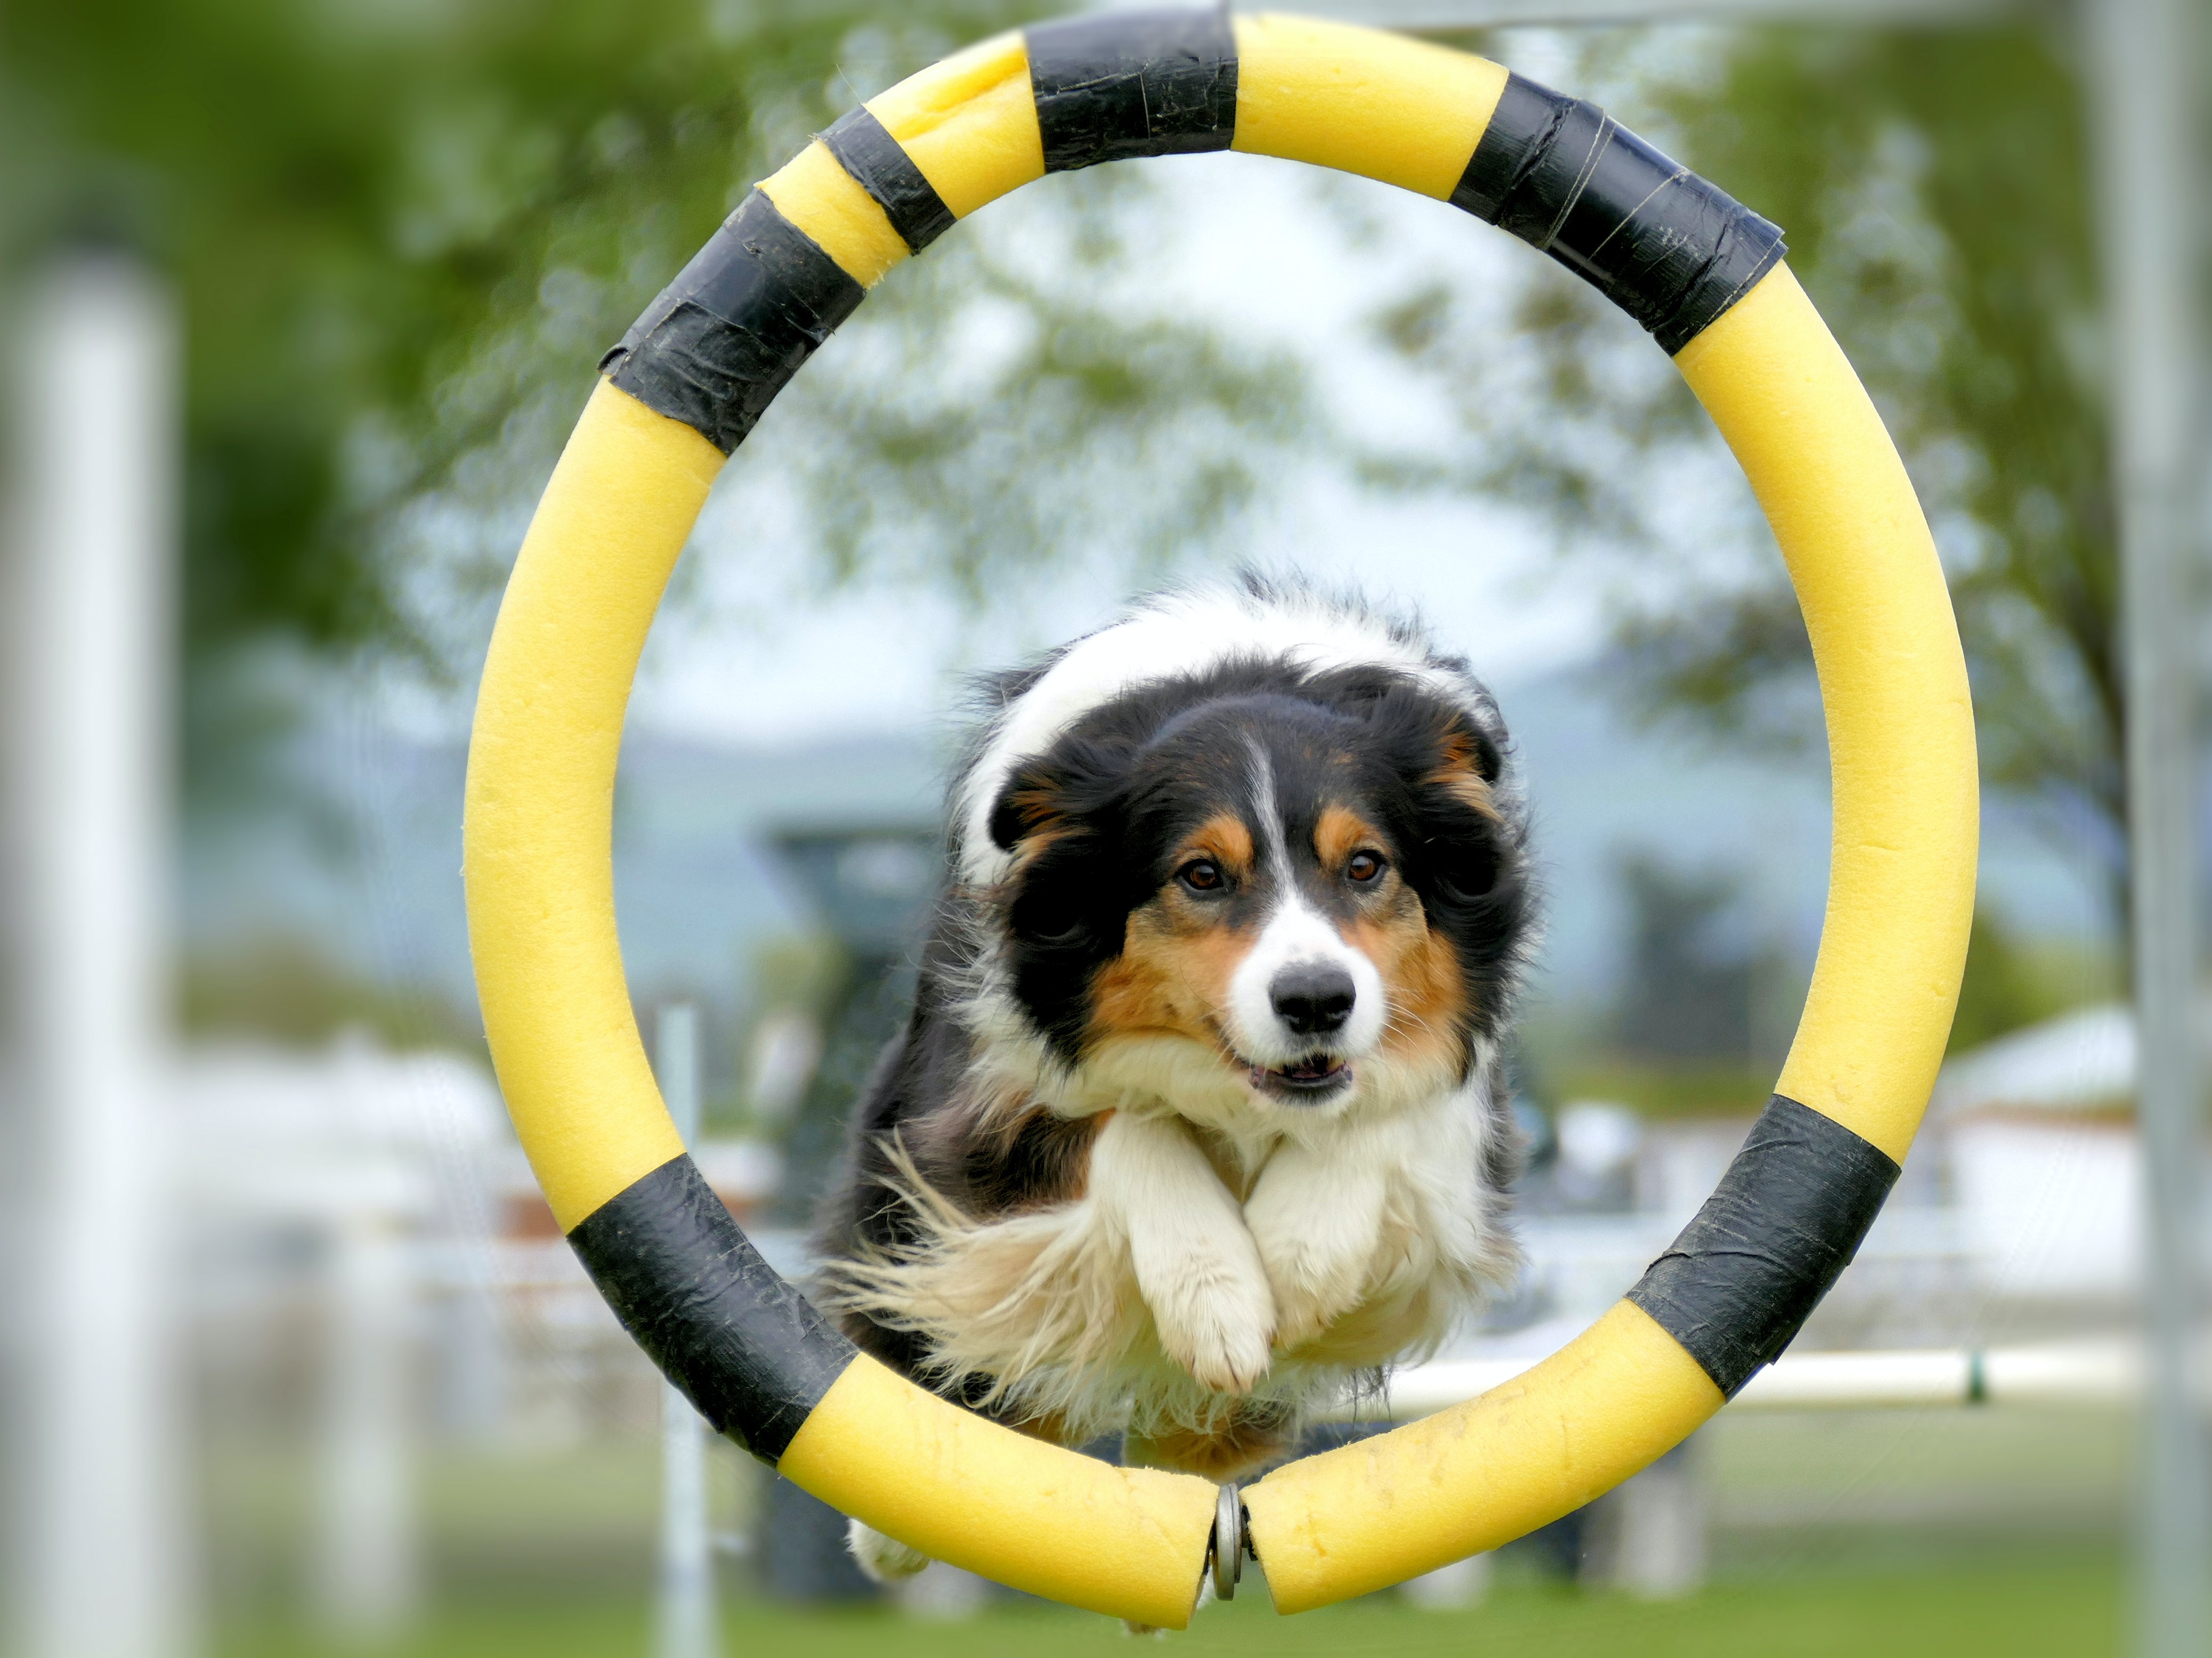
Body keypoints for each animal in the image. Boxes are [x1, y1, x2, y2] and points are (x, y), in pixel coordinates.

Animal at [818, 579, 1540, 1582]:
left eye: (1366, 866)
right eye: (1200, 875)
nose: (1316, 1001)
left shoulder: (1461, 1109)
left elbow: (1387, 1108)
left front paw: (1294, 1258)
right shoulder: (984, 1093)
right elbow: (1126, 1124)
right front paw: (1220, 1300)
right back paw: (890, 1527)